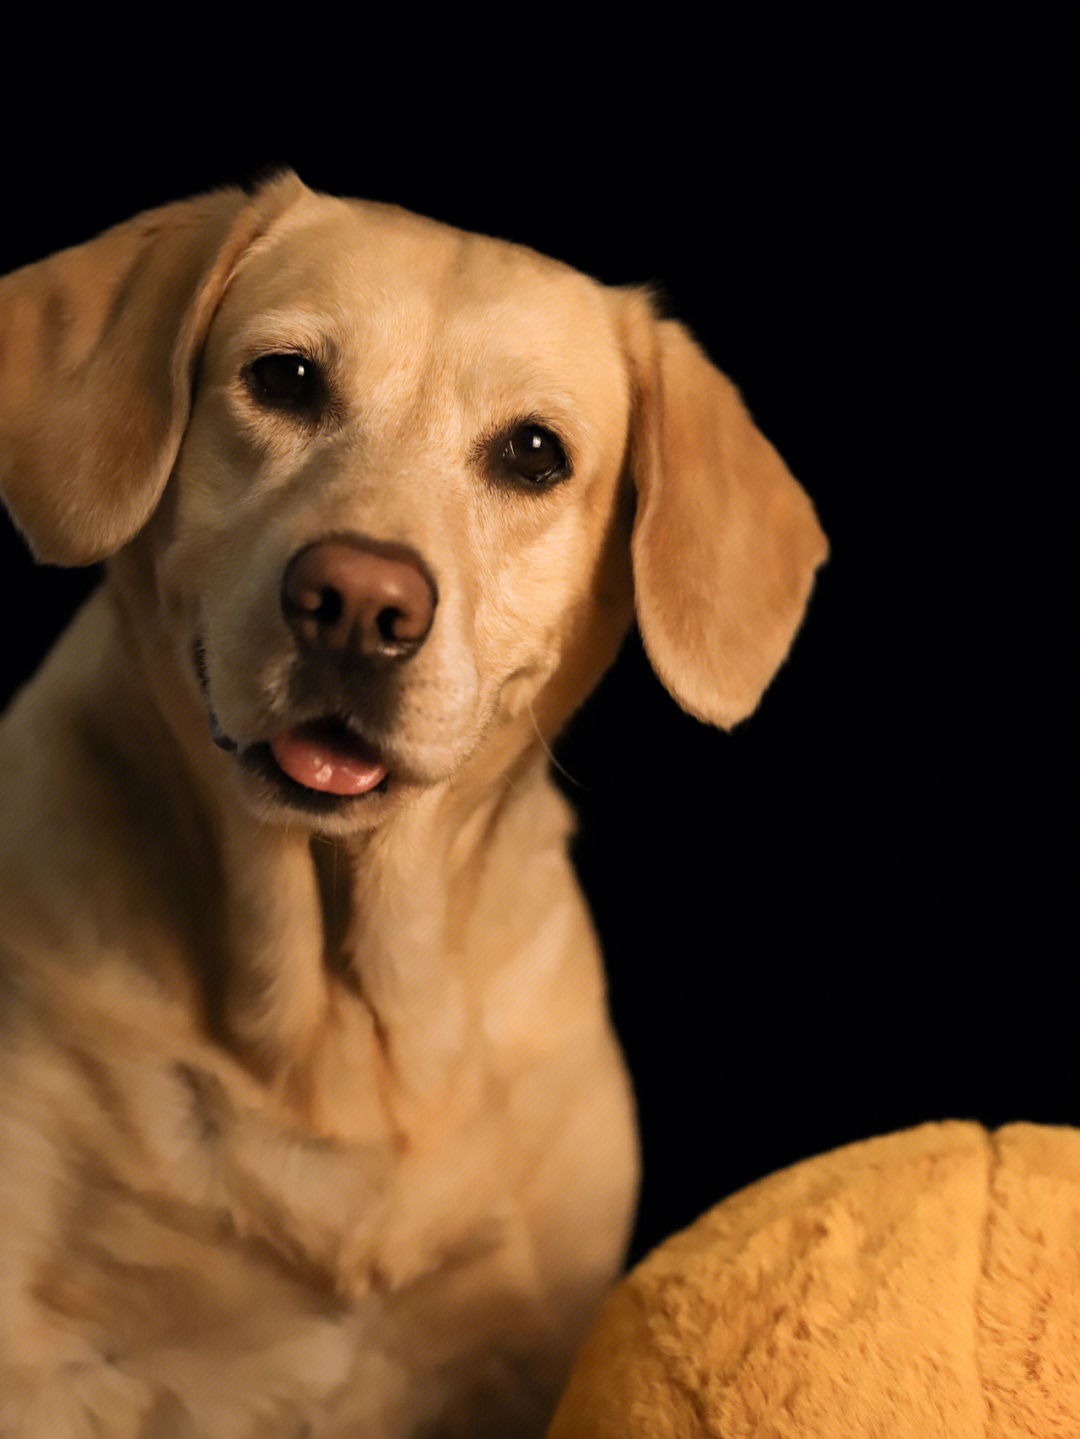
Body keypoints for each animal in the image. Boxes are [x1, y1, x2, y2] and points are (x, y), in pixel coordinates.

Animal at [0, 171, 828, 1439]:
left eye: (534, 453)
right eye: (285, 378)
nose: (357, 601)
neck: (335, 1004)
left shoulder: (523, 1352)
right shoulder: (43, 1354)